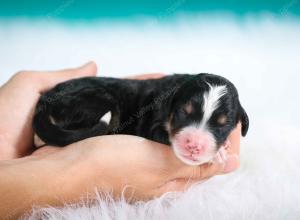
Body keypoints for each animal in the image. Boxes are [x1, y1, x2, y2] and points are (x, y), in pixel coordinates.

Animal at [32, 73, 248, 165]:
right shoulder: (151, 125)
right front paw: (218, 154)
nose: (194, 145)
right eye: (183, 113)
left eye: (222, 125)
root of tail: (44, 101)